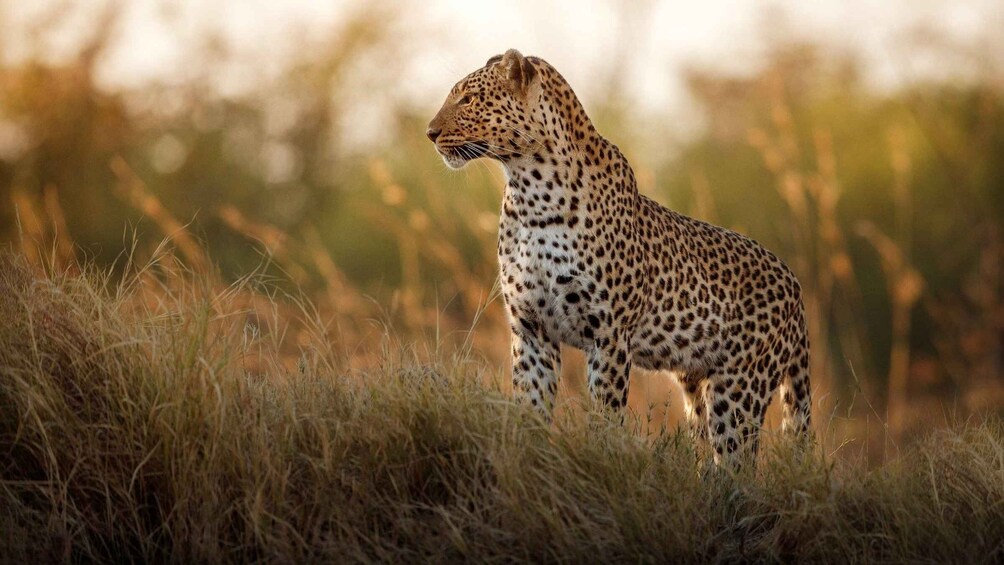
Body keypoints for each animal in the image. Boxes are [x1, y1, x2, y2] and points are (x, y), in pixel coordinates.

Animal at [427, 49, 812, 464]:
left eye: (468, 99)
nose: (430, 132)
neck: (530, 192)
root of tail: (794, 284)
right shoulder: (531, 329)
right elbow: (530, 408)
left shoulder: (608, 334)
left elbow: (605, 415)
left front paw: (599, 458)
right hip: (697, 385)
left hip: (740, 388)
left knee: (736, 462)